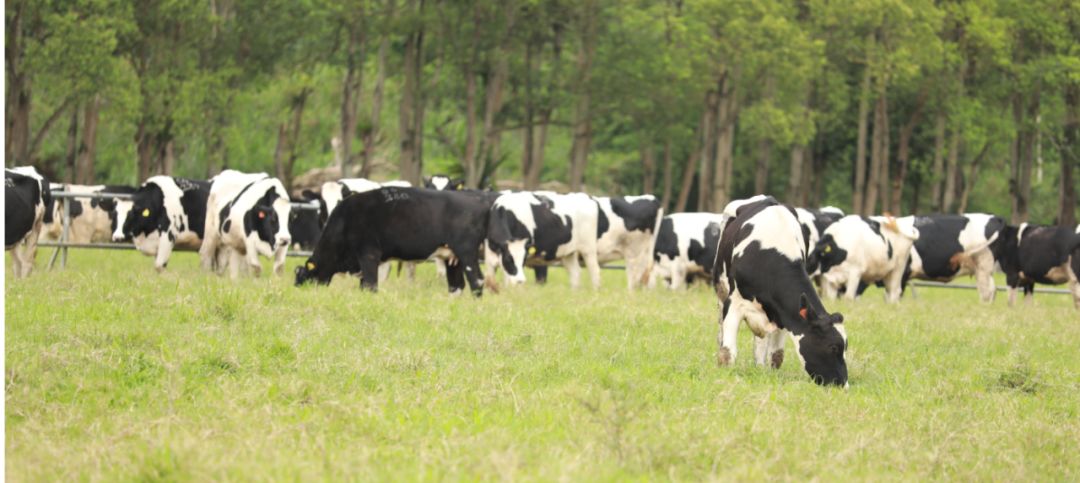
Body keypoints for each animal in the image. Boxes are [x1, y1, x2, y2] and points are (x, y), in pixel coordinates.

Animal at [293, 188, 492, 293]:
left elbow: (370, 285)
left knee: (477, 280)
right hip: (452, 257)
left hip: (466, 252)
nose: (297, 291)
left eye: (303, 279)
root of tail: (477, 200)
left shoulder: (369, 254)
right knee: (456, 286)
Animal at [712, 194, 846, 386]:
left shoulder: (782, 313)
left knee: (761, 343)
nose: (843, 384)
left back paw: (759, 367)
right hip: (721, 288)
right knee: (721, 329)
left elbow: (776, 355)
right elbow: (728, 352)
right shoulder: (734, 303)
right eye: (833, 347)